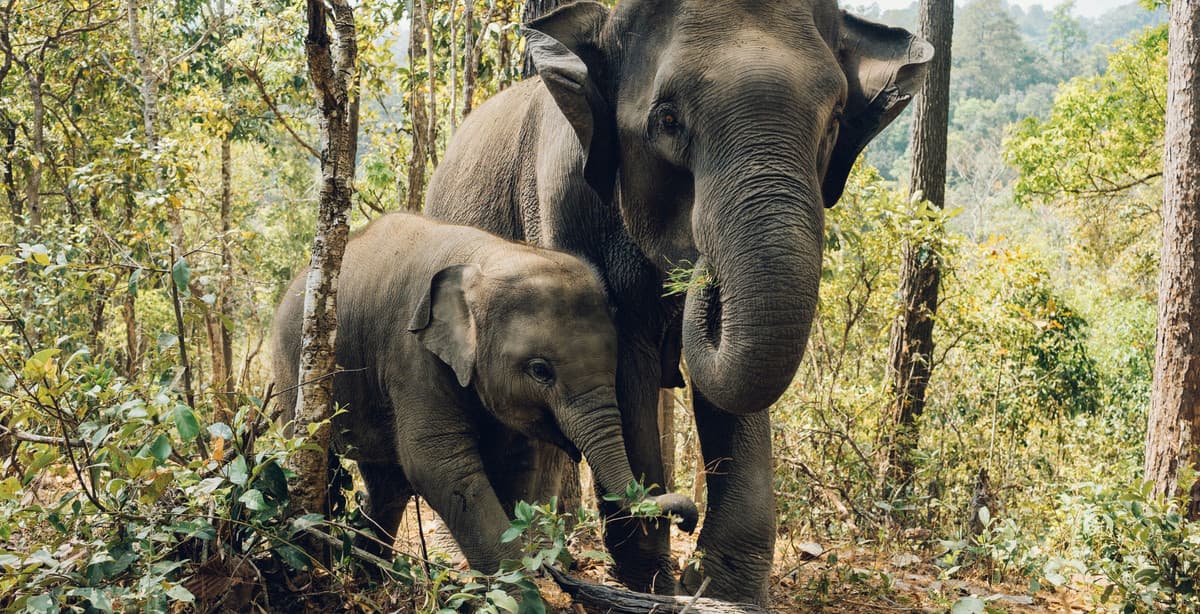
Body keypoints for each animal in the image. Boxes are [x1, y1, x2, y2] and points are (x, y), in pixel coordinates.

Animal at [271, 212, 698, 574]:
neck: (486, 257)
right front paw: (521, 587)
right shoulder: (412, 354)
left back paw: (370, 576)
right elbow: (437, 461)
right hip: (294, 368)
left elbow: (514, 461)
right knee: (318, 458)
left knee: (387, 484)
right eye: (540, 370)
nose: (688, 520)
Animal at [423, 0, 931, 603]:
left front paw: (723, 591)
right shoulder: (565, 204)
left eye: (832, 124)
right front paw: (653, 584)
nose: (701, 269)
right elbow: (625, 366)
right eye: (667, 121)